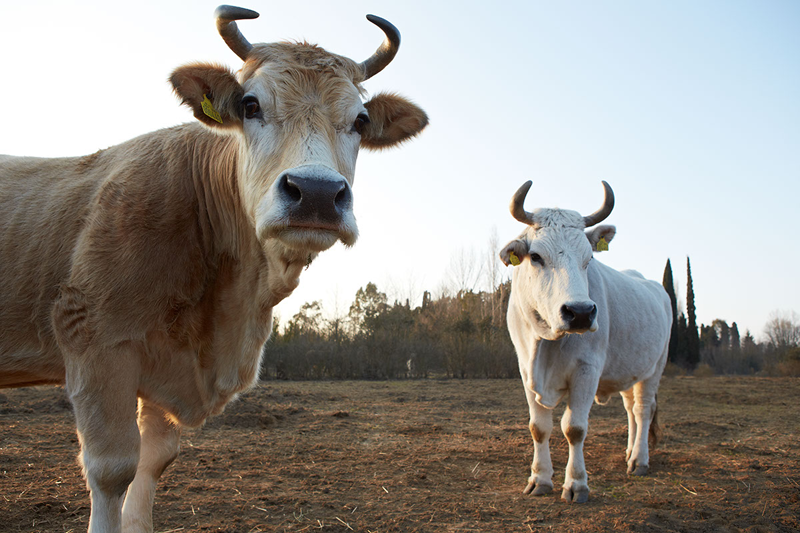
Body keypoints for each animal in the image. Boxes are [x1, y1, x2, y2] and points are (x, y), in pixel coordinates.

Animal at [0, 5, 428, 532]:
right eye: (250, 105)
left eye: (361, 121)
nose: (317, 193)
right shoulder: (97, 343)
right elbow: (111, 470)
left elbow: (153, 461)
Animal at [504, 181, 672, 500]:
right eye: (536, 256)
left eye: (589, 258)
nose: (580, 312)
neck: (546, 343)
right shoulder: (524, 370)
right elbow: (538, 427)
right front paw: (539, 479)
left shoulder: (587, 370)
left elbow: (574, 429)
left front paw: (576, 484)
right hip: (628, 370)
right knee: (631, 411)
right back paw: (629, 453)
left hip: (655, 368)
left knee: (643, 410)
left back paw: (640, 460)